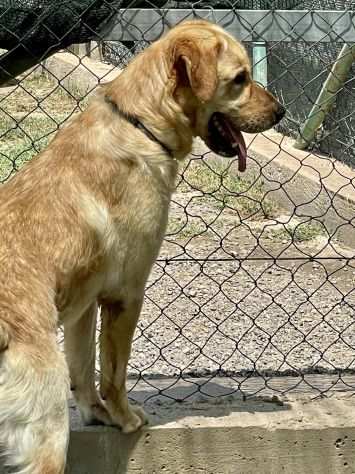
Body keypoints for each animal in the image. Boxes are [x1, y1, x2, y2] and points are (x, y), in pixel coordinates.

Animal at [0, 19, 286, 474]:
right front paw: (125, 419)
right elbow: (114, 374)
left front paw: (97, 415)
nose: (281, 113)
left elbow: (85, 370)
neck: (141, 125)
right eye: (241, 78)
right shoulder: (126, 293)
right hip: (47, 436)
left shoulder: (85, 304)